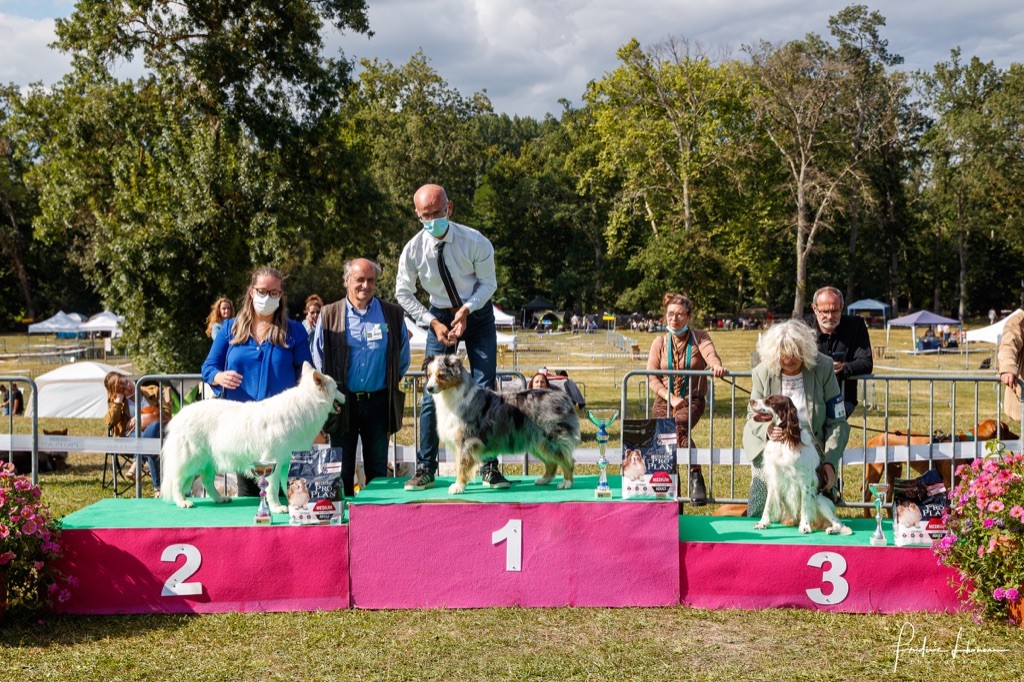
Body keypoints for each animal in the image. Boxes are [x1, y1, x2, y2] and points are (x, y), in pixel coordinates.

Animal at [159, 360, 344, 509]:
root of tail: (179, 415)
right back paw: (182, 502)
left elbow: (287, 484)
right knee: (176, 481)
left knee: (207, 481)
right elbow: (273, 487)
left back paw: (219, 498)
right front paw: (277, 507)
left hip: (207, 461)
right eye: (336, 388)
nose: (346, 396)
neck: (305, 405)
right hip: (191, 460)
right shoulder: (273, 460)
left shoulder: (287, 461)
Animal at [749, 395, 851, 532]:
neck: (785, 439)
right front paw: (763, 523)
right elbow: (768, 504)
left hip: (819, 499)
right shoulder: (774, 478)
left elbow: (805, 505)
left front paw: (805, 526)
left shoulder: (805, 481)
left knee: (838, 522)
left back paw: (831, 529)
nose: (751, 401)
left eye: (771, 401)